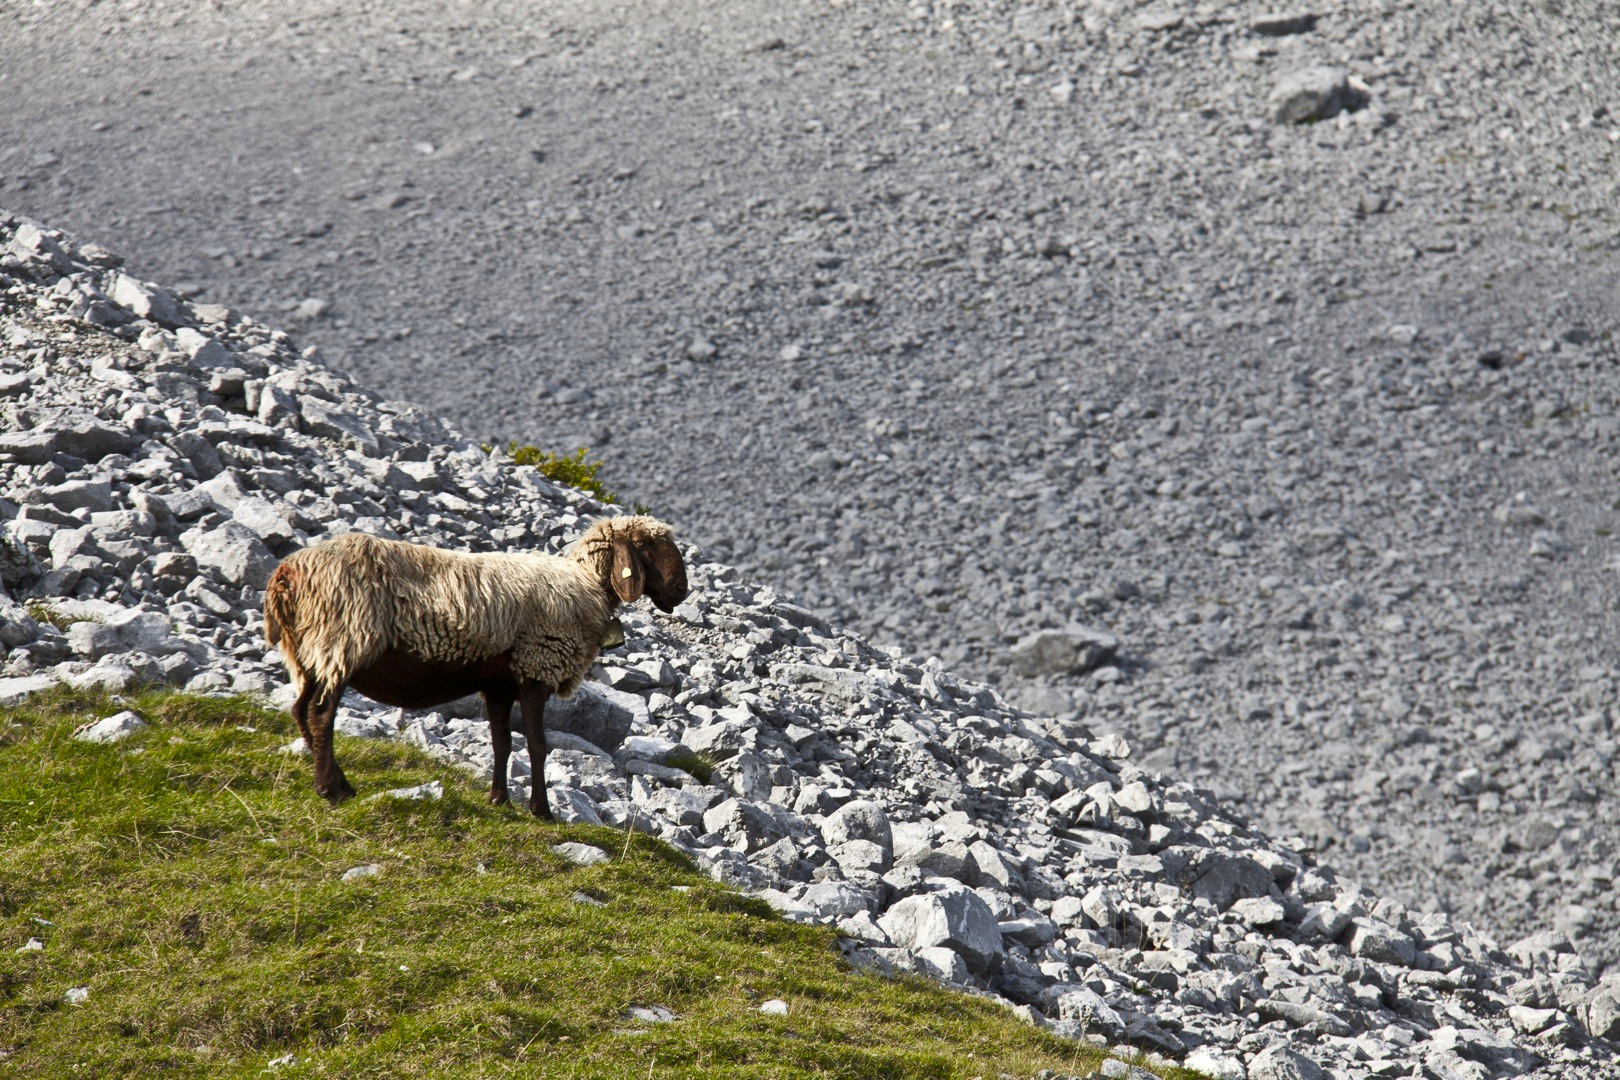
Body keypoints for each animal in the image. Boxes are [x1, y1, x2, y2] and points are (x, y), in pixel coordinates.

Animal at [257, 518, 683, 819]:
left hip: (310, 653)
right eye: (646, 543)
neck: (586, 583)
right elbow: (538, 745)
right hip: (342, 639)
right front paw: (542, 811)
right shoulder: (537, 667)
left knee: (301, 710)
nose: (681, 590)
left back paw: (335, 780)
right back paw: (332, 788)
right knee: (320, 714)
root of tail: (286, 574)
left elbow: (502, 743)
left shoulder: (499, 685)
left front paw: (499, 800)